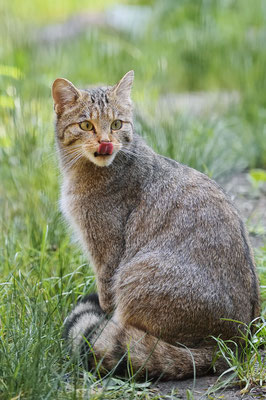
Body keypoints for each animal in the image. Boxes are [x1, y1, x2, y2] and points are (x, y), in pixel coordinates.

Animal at [51, 70, 260, 380]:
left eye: (116, 124)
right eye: (86, 125)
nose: (105, 142)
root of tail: (234, 345)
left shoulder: (106, 254)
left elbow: (105, 298)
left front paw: (102, 320)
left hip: (133, 274)